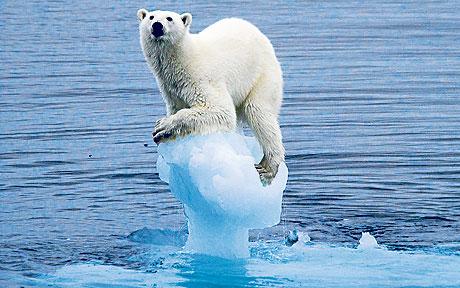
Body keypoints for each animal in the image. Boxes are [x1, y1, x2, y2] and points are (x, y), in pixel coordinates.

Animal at [137, 9, 284, 184]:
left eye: (169, 18)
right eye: (151, 17)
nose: (157, 26)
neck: (183, 58)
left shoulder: (200, 78)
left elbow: (219, 110)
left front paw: (162, 126)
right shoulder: (171, 88)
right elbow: (177, 107)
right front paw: (164, 134)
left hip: (262, 75)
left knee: (259, 113)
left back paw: (267, 167)